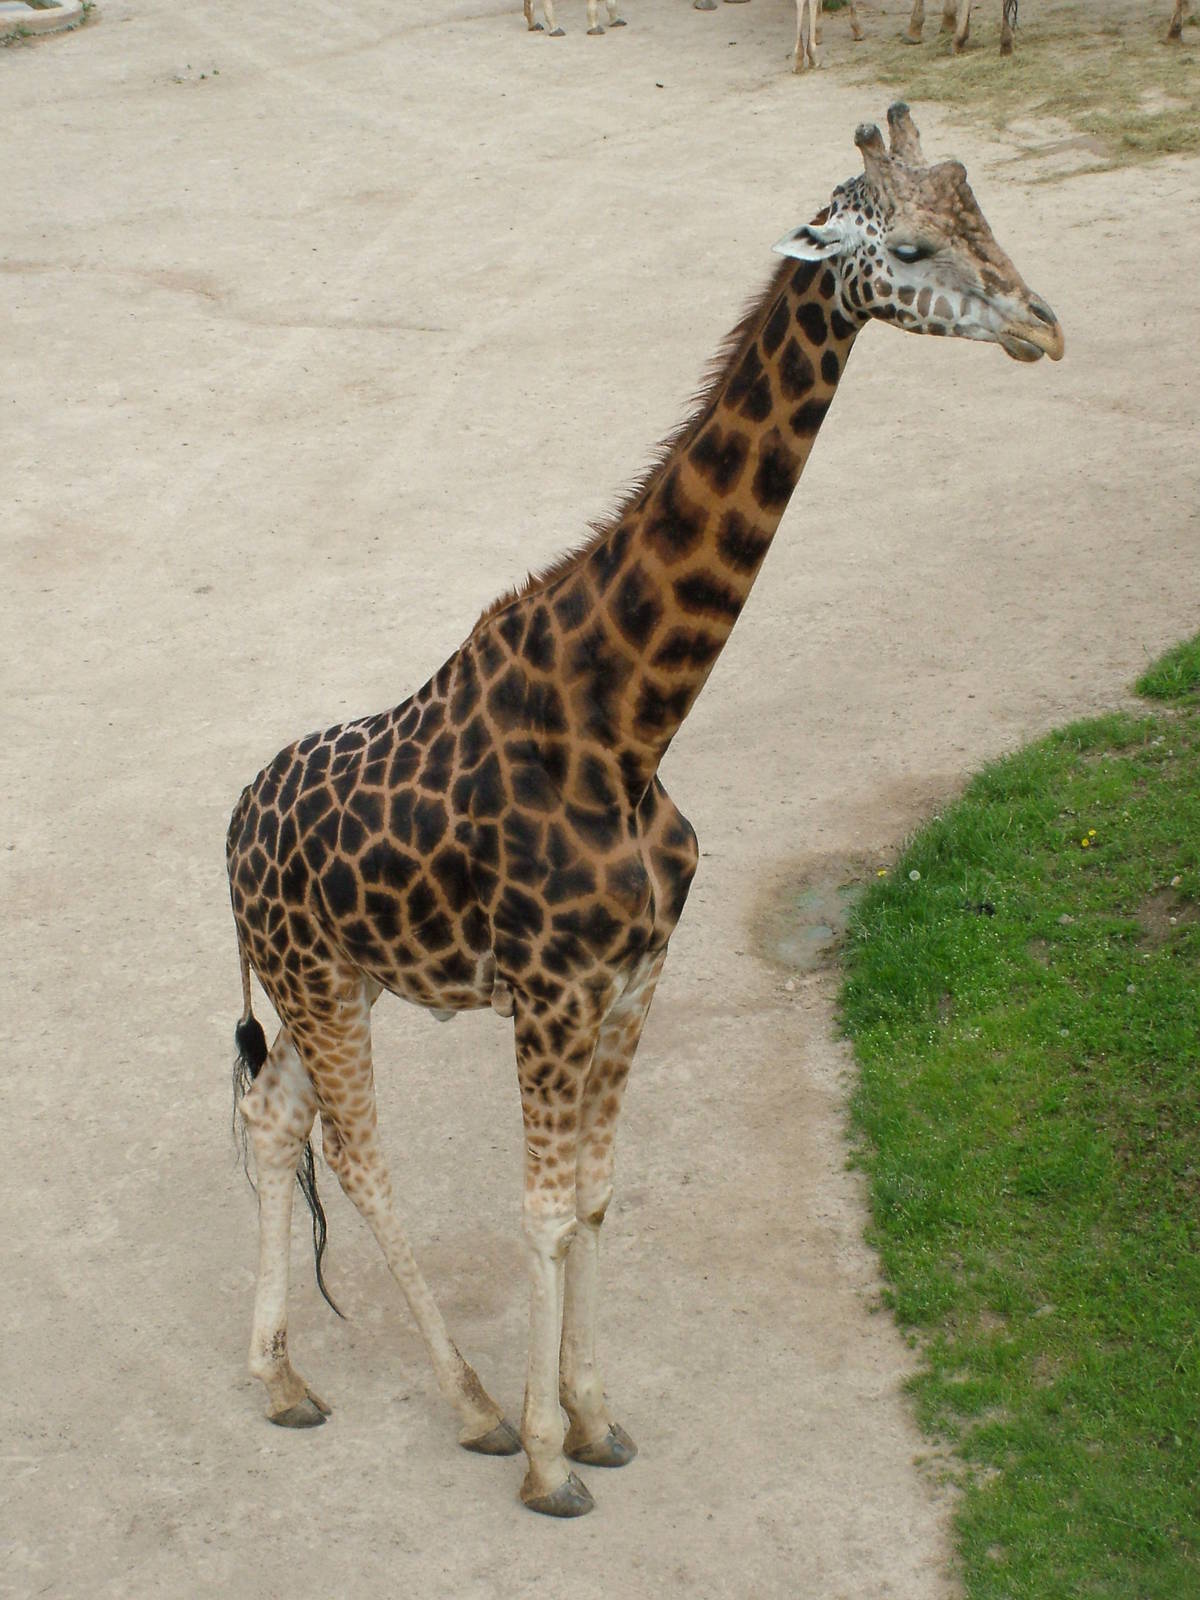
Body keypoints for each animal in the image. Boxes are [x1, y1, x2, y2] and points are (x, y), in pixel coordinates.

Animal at [227, 103, 1063, 1518]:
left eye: (982, 211)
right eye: (906, 245)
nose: (1043, 328)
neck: (625, 724)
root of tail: (227, 832)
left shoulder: (635, 978)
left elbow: (602, 1199)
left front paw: (599, 1417)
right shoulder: (552, 994)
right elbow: (546, 1208)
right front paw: (549, 1457)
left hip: (333, 979)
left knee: (273, 1119)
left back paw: (282, 1380)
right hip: (322, 985)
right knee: (358, 1156)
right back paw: (469, 1408)